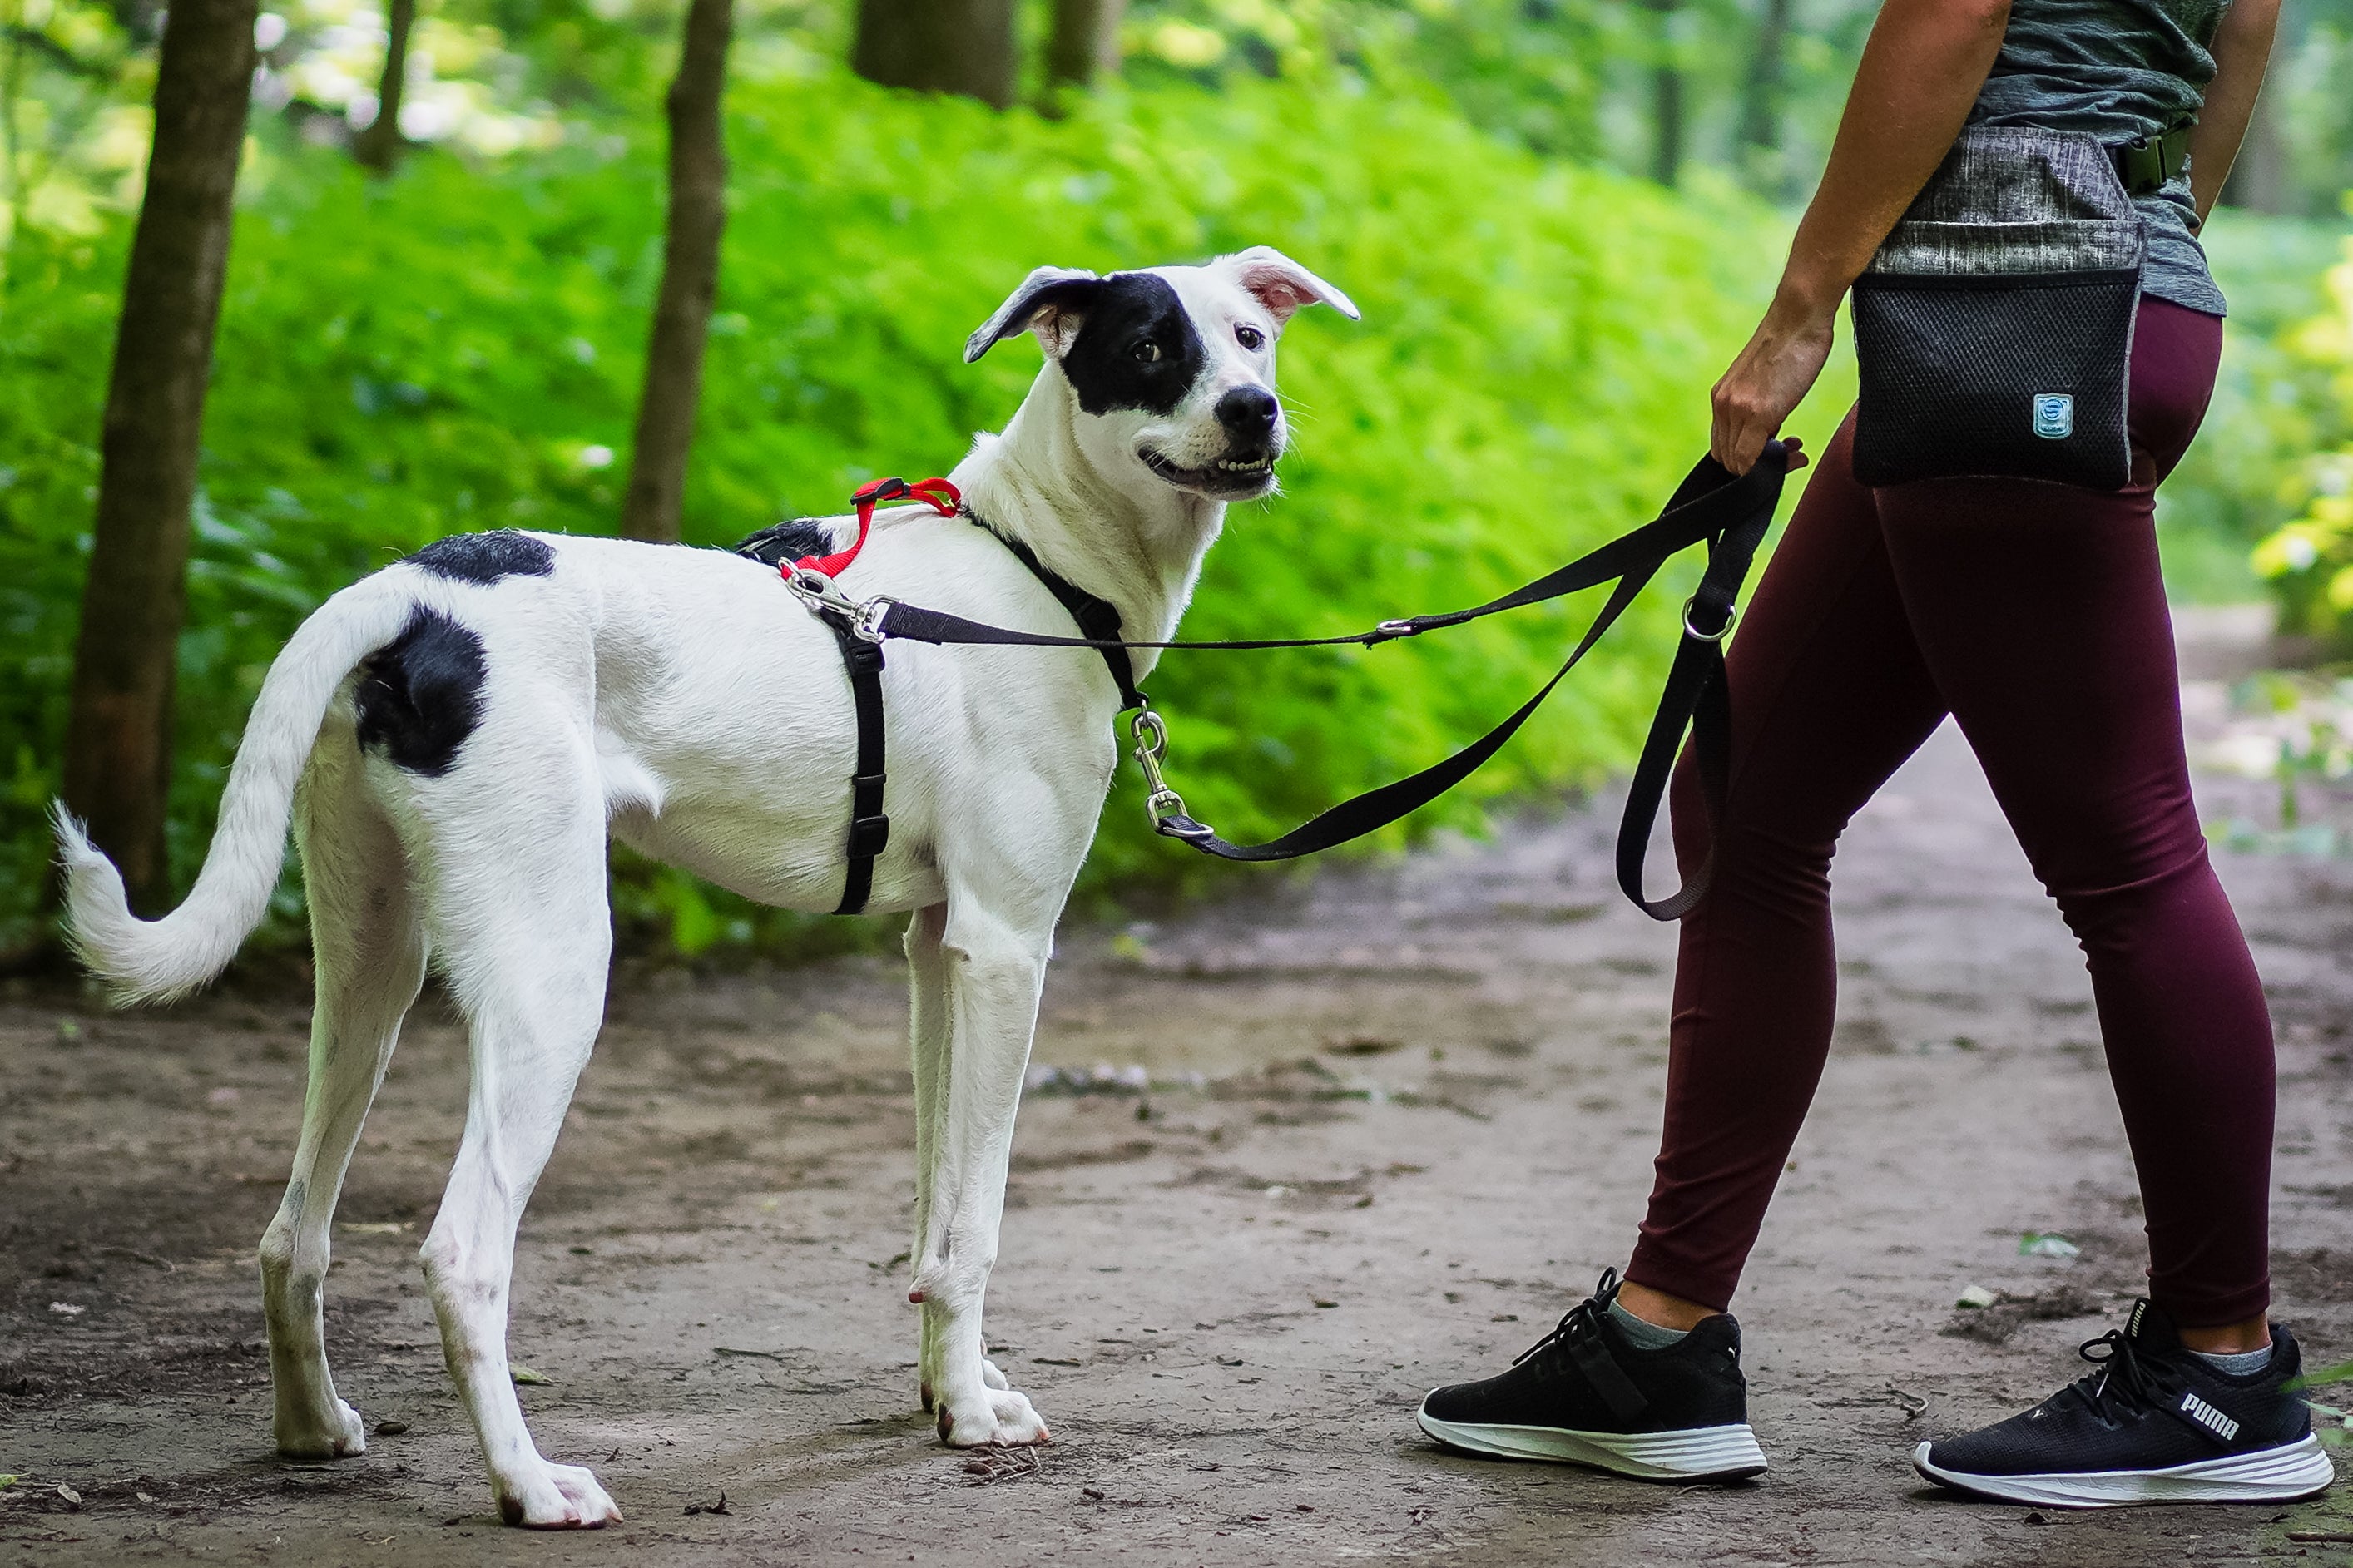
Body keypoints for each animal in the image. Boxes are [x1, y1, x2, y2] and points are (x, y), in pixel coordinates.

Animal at [55, 248, 1365, 1532]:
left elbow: (936, 1210)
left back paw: (313, 1428)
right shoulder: (1006, 951)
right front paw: (968, 1414)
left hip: (370, 970)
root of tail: (419, 592)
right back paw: (529, 1483)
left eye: (1251, 338)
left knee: (293, 1233)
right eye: (1149, 348)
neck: (1036, 572)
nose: (1252, 410)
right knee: (461, 1253)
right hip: (551, 978)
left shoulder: (938, 954)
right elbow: (979, 1221)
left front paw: (951, 1385)